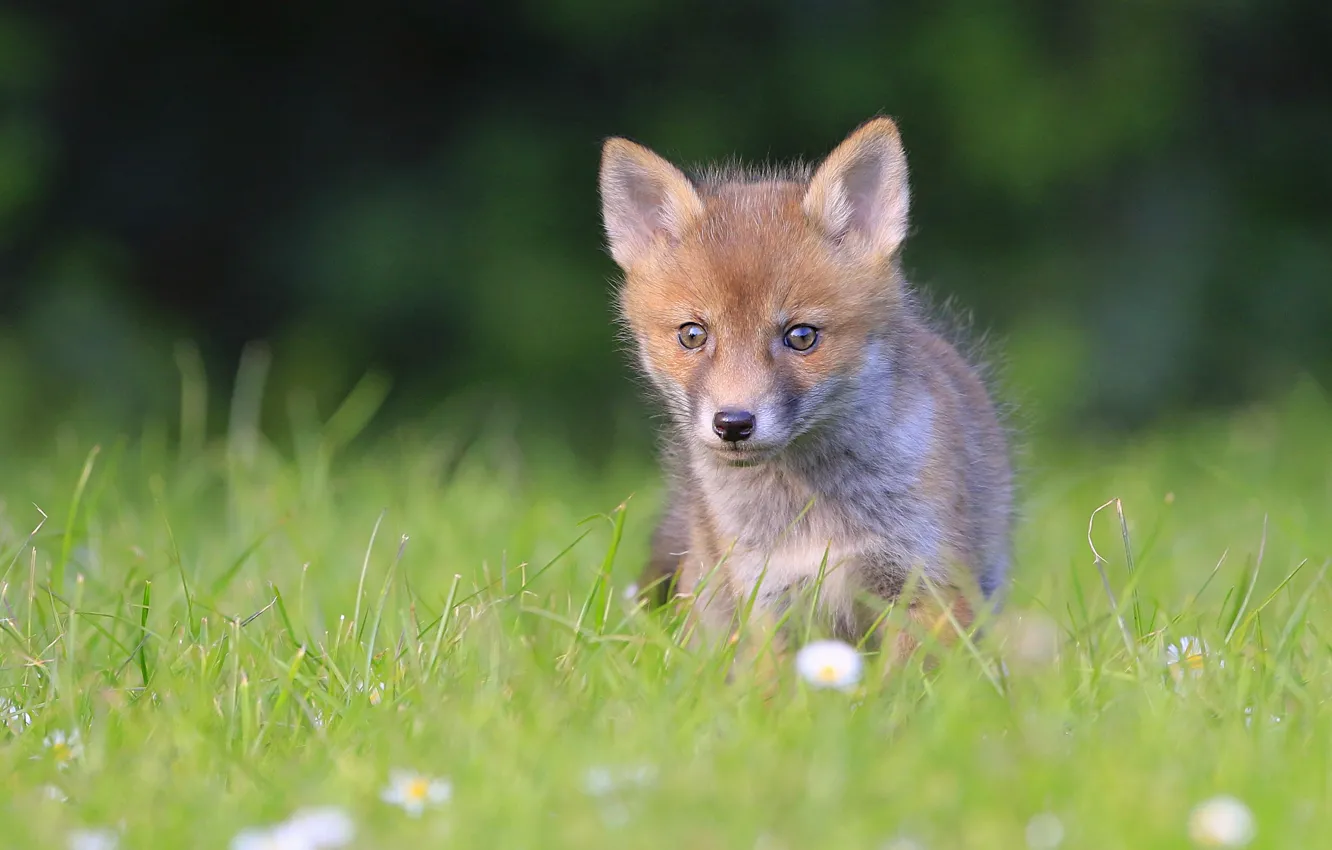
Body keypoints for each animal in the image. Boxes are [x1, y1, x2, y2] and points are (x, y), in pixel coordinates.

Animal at [598, 116, 1014, 661]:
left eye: (801, 336)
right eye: (692, 335)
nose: (733, 423)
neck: (815, 513)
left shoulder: (929, 588)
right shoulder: (767, 599)